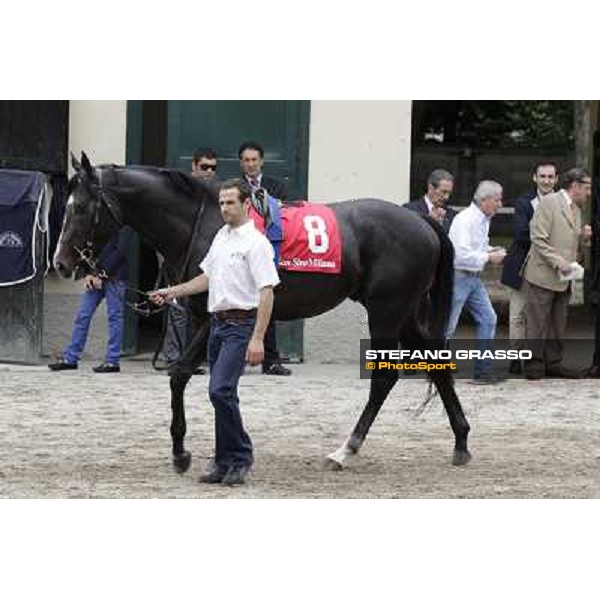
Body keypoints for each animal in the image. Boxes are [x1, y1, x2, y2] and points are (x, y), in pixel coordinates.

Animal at [54, 154, 472, 474]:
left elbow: (181, 375)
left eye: (81, 207)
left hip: (387, 311)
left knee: (385, 379)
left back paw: (345, 450)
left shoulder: (214, 318)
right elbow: (199, 381)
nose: (60, 262)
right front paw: (201, 453)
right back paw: (461, 441)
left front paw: (183, 452)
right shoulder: (200, 317)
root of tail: (422, 222)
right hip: (407, 313)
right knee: (438, 363)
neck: (203, 224)